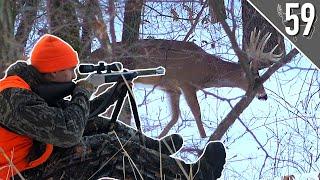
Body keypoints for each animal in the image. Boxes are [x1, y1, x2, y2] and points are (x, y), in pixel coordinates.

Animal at [90, 27, 282, 138]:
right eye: (256, 76)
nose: (264, 95)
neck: (206, 70)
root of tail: (93, 53)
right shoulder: (186, 83)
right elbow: (196, 112)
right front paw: (205, 139)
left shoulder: (172, 88)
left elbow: (175, 116)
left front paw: (159, 138)